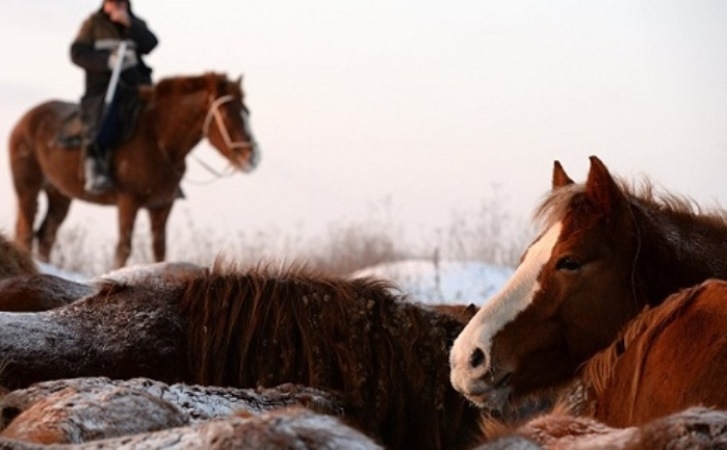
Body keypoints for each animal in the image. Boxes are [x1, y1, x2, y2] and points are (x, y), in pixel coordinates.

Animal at [8, 70, 260, 268]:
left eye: (247, 111)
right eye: (227, 113)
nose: (253, 156)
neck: (157, 138)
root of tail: (24, 120)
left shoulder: (161, 206)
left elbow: (159, 250)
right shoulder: (128, 201)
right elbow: (124, 248)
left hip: (60, 195)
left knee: (46, 235)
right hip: (28, 189)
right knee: (25, 232)